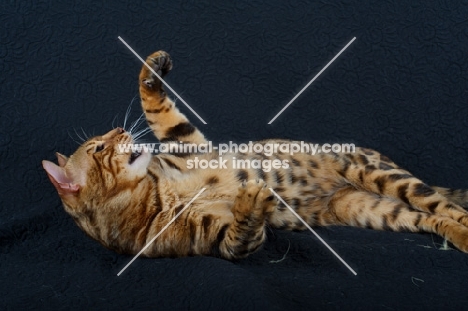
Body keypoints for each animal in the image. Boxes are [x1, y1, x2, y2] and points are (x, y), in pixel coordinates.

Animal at [42, 50, 468, 260]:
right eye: (99, 148)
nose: (120, 130)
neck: (156, 193)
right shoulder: (214, 240)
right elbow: (241, 234)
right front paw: (252, 200)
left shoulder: (189, 145)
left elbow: (158, 109)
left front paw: (152, 68)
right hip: (369, 209)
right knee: (428, 217)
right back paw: (459, 235)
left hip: (378, 175)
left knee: (442, 205)